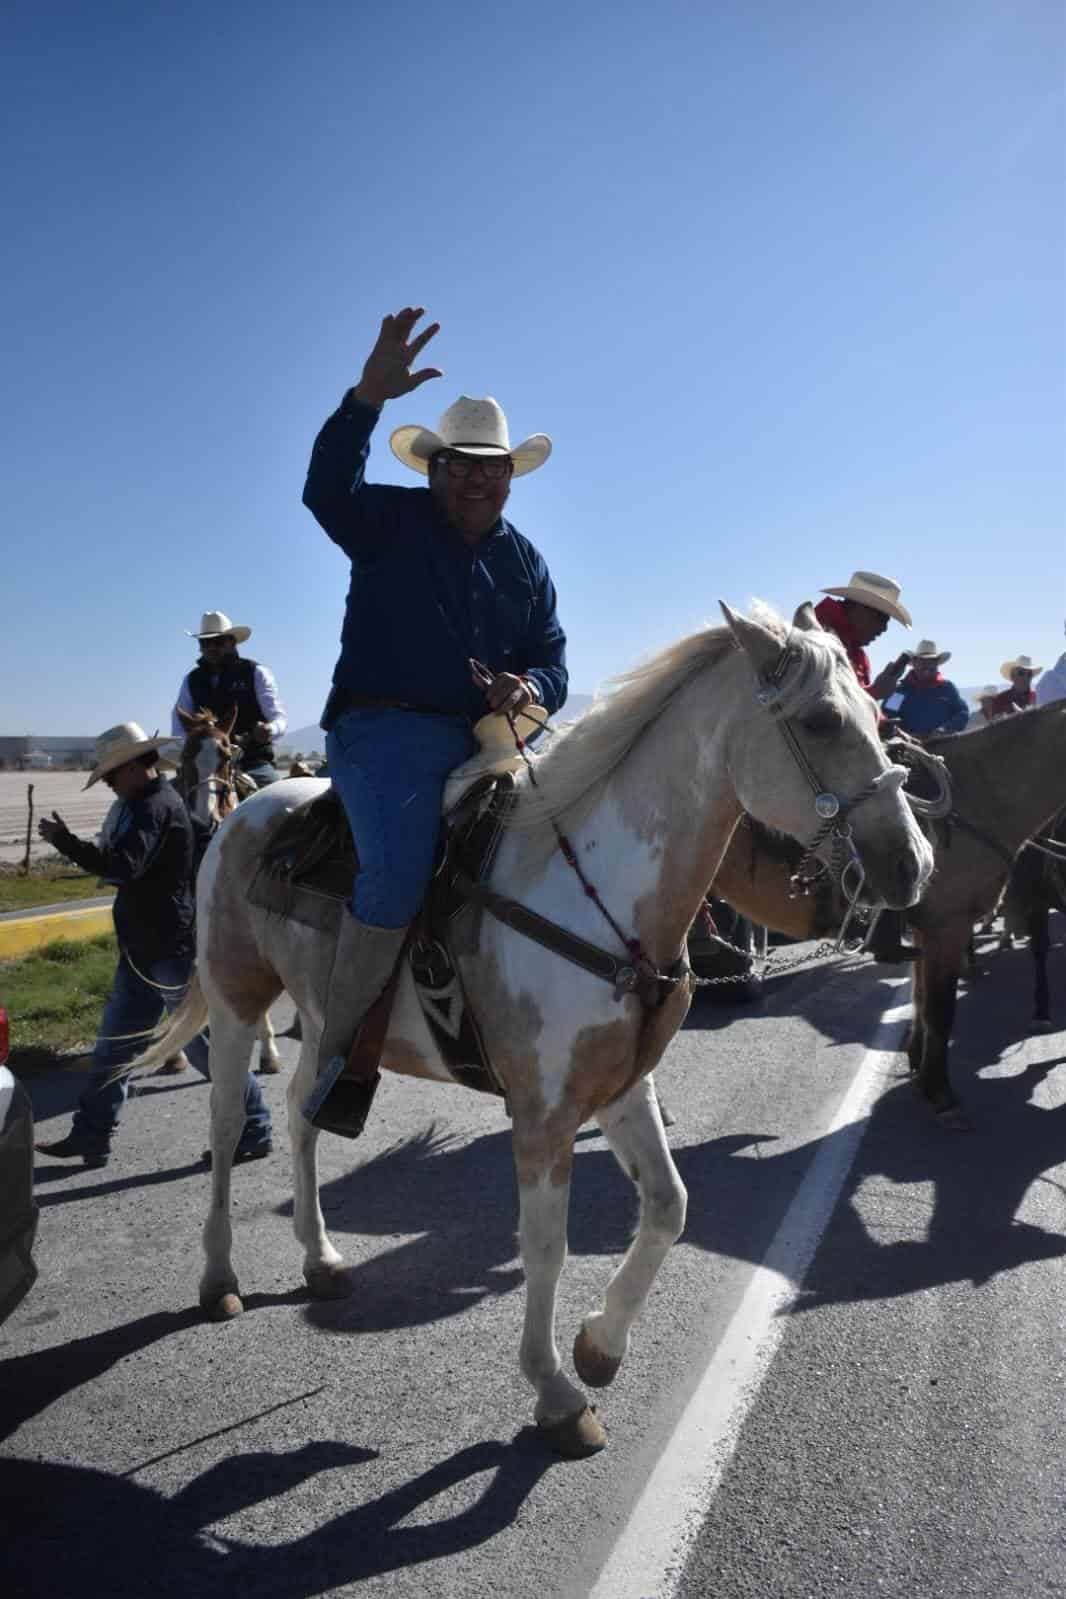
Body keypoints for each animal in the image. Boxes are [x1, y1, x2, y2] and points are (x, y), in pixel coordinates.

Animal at [131, 604, 933, 1458]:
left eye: (878, 714)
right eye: (819, 721)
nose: (913, 863)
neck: (594, 892)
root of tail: (242, 815)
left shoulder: (622, 1088)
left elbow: (669, 1205)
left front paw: (601, 1344)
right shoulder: (544, 1112)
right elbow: (545, 1244)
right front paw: (555, 1391)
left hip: (328, 1021)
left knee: (303, 1118)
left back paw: (320, 1256)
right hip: (238, 1003)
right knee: (226, 1126)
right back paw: (218, 1278)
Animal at [709, 700, 1066, 1125]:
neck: (981, 795)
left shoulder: (927, 932)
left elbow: (921, 1000)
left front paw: (919, 1067)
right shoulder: (948, 928)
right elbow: (940, 1009)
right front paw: (940, 1094)